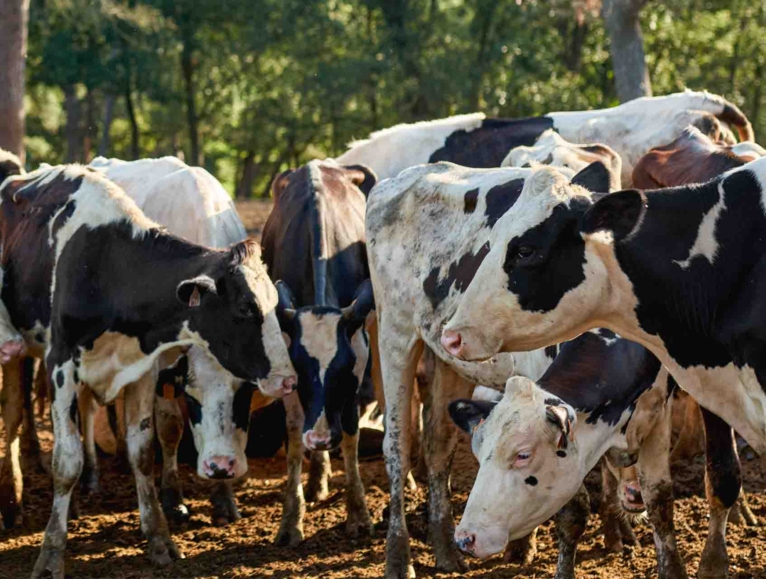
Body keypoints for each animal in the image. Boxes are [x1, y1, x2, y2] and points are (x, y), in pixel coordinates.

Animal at [0, 164, 296, 579]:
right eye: (244, 308)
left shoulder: (140, 368)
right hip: (19, 352)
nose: (288, 378)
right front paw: (50, 555)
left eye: (244, 392)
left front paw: (159, 539)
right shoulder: (60, 365)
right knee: (13, 418)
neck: (110, 266)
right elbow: (66, 462)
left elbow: (142, 451)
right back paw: (13, 503)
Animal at [261, 159, 376, 544]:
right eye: (301, 371)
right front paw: (290, 520)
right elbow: (295, 438)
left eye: (343, 370)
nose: (322, 437)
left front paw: (359, 515)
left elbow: (352, 434)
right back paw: (316, 479)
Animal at [366, 160, 618, 578]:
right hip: (395, 335)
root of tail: (406, 175)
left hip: (448, 360)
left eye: (526, 249)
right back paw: (399, 558)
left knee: (438, 445)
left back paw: (445, 549)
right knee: (397, 447)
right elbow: (572, 509)